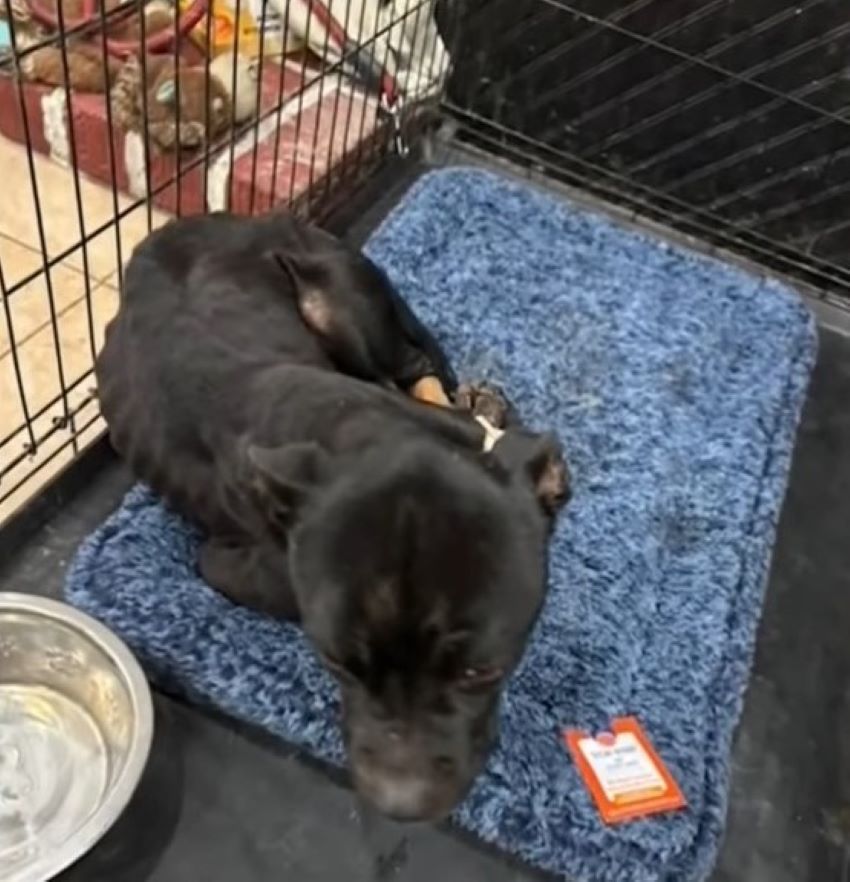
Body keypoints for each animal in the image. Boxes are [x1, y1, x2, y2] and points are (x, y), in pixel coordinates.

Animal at [94, 210, 568, 820]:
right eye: (336, 663)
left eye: (481, 670)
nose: (400, 801)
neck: (364, 428)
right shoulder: (232, 562)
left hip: (340, 302)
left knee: (413, 366)